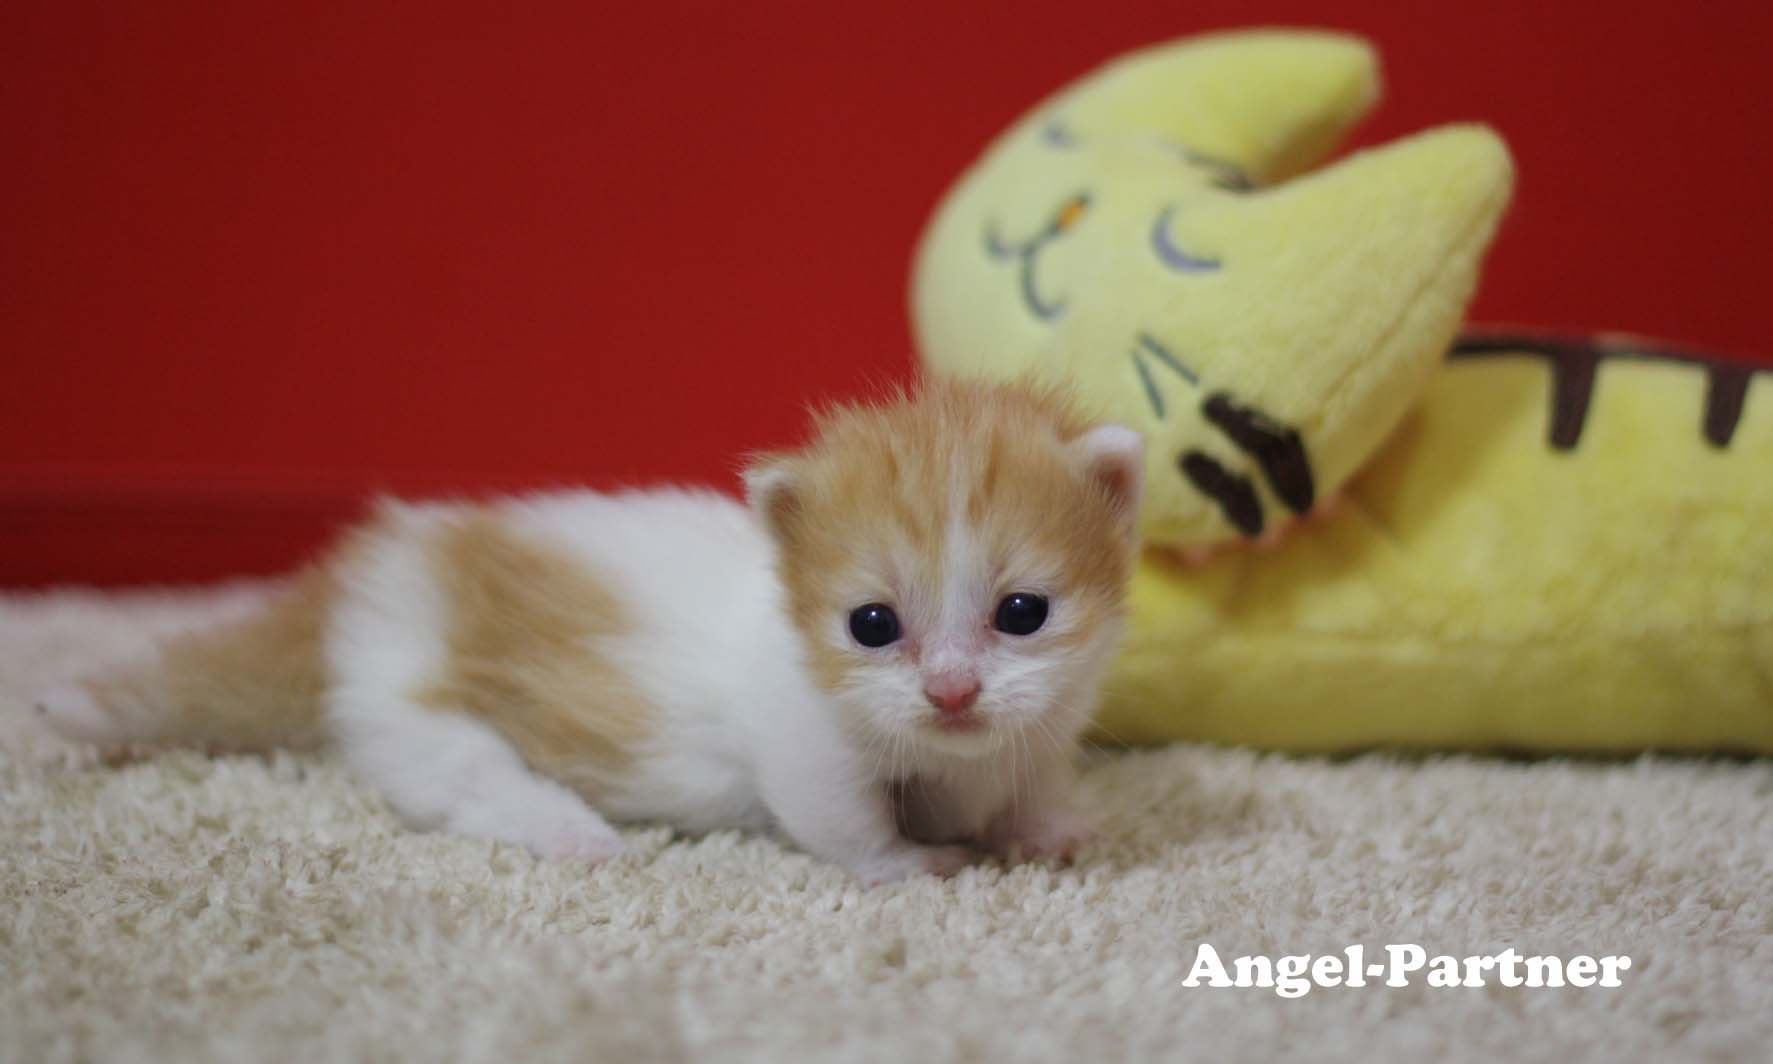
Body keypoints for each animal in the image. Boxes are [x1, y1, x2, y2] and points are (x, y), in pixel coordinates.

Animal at [41, 377, 1155, 886]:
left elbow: (1033, 775)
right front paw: (915, 864)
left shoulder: (1045, 719)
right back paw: (571, 830)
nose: (952, 691)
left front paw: (1050, 828)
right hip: (412, 700)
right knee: (467, 785)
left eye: (1023, 614)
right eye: (871, 624)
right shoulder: (805, 745)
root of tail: (371, 572)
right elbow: (844, 821)